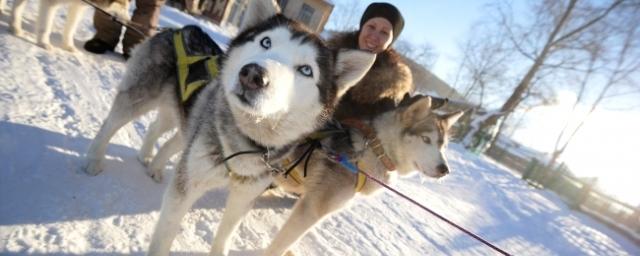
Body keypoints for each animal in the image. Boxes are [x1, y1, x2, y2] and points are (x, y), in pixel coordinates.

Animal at [82, 1, 378, 255]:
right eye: (266, 41)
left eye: (306, 70)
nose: (254, 75)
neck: (247, 140)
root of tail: (183, 29)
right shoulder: (185, 189)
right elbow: (164, 236)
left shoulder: (244, 197)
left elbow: (225, 235)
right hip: (139, 98)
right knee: (110, 125)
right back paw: (94, 160)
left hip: (184, 115)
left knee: (160, 130)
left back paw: (150, 162)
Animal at [262, 95, 462, 255]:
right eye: (426, 139)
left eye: (443, 146)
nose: (445, 169)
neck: (375, 150)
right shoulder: (311, 210)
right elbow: (279, 246)